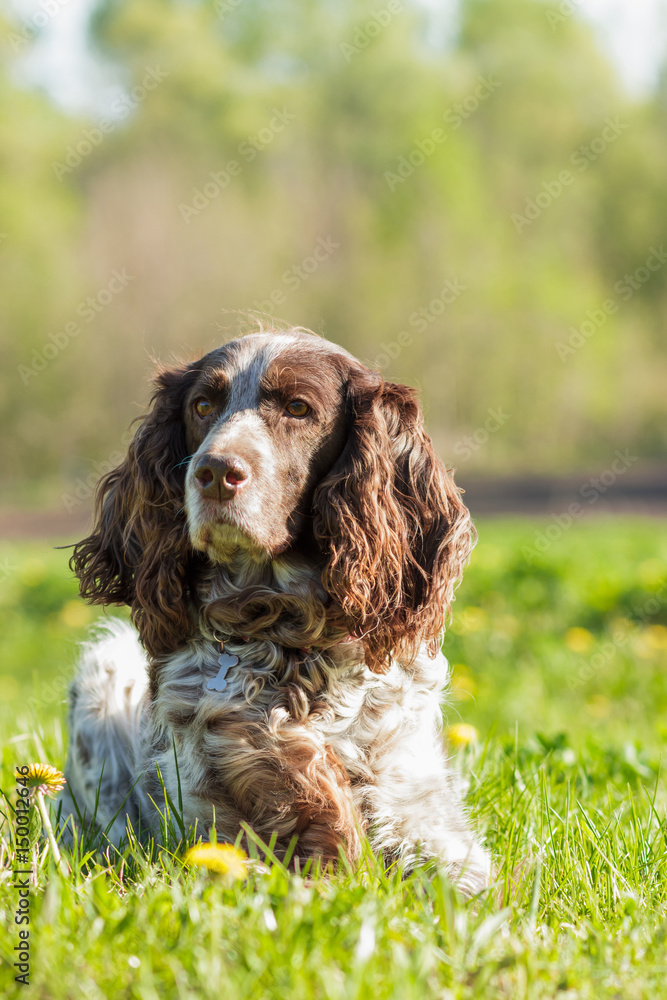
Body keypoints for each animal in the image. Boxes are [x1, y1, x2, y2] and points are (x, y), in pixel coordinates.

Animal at [62, 330, 490, 900]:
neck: (283, 637)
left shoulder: (427, 824)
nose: (214, 472)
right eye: (203, 406)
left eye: (298, 408)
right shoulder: (209, 835)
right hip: (106, 668)